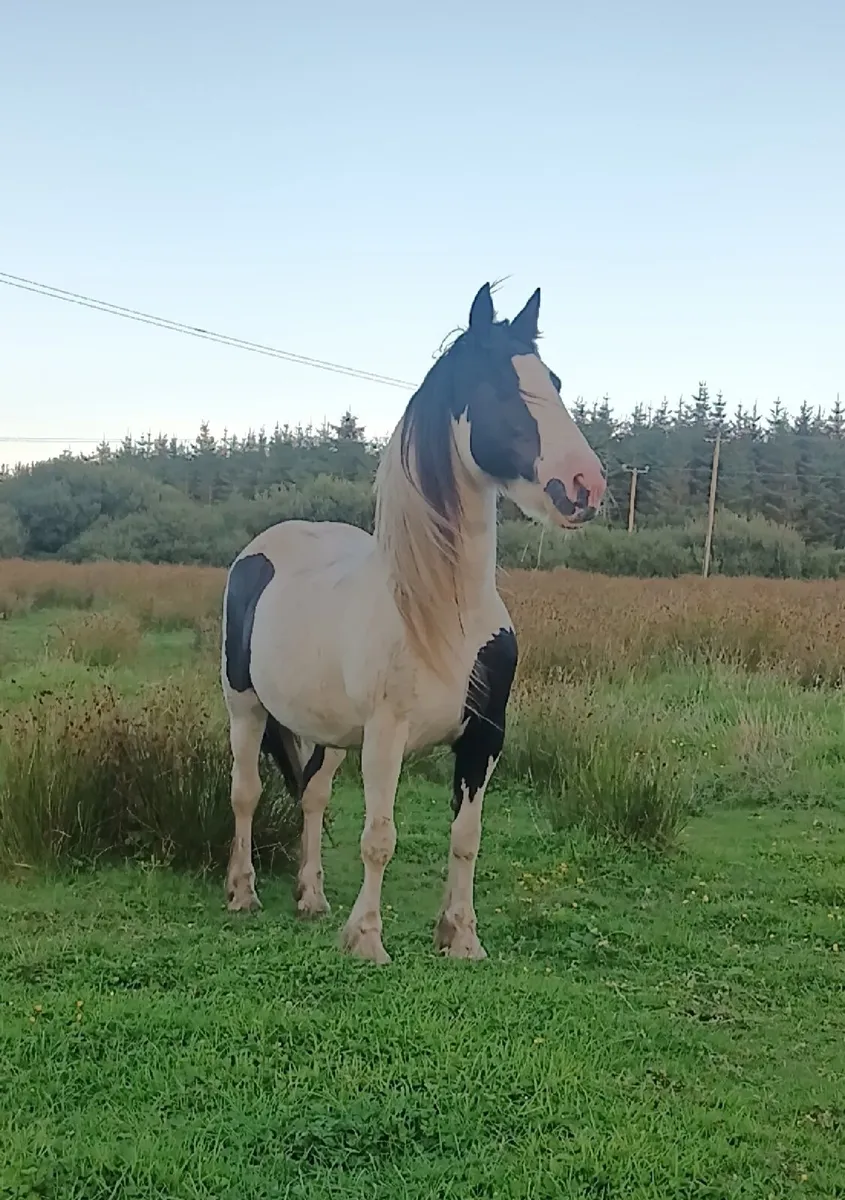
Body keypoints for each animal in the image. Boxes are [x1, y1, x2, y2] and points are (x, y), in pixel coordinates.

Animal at [220, 282, 606, 964]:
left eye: (554, 381)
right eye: (498, 387)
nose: (585, 486)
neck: (445, 615)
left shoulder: (484, 737)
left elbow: (466, 837)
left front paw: (461, 937)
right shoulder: (386, 736)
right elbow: (380, 836)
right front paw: (368, 939)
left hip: (328, 731)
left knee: (312, 795)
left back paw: (312, 899)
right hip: (245, 707)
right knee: (246, 792)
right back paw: (243, 893)